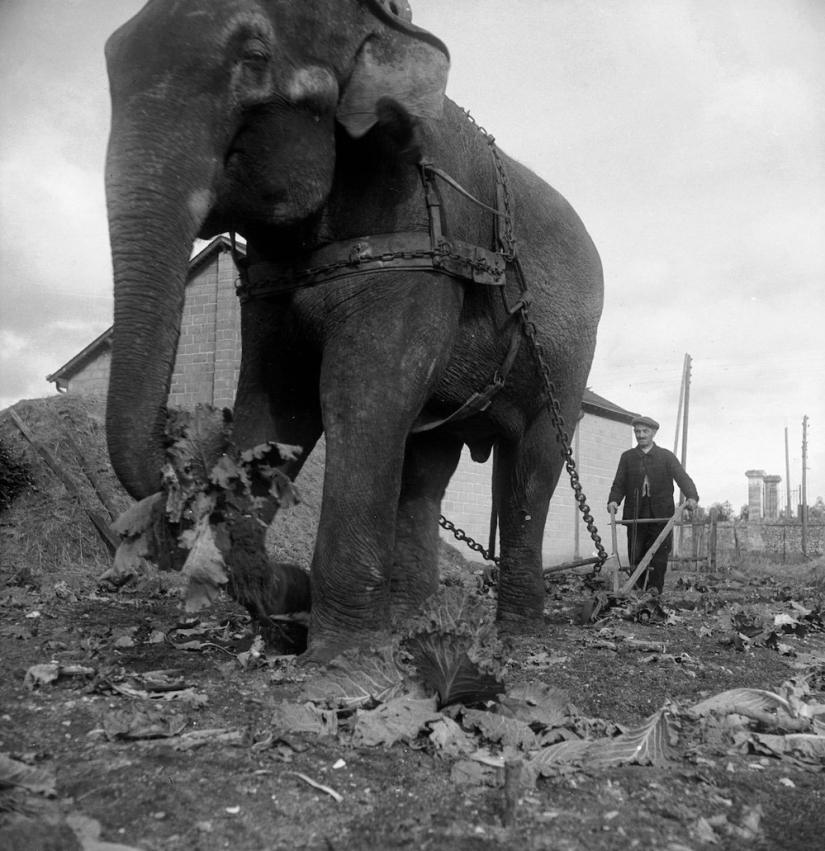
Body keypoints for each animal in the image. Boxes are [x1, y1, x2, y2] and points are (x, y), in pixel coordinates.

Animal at [106, 0, 600, 664]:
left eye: (255, 58)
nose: (181, 437)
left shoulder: (414, 248)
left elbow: (359, 398)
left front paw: (341, 656)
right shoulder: (270, 284)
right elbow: (279, 402)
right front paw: (295, 610)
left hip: (566, 359)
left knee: (531, 468)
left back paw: (516, 636)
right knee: (425, 471)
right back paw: (415, 624)